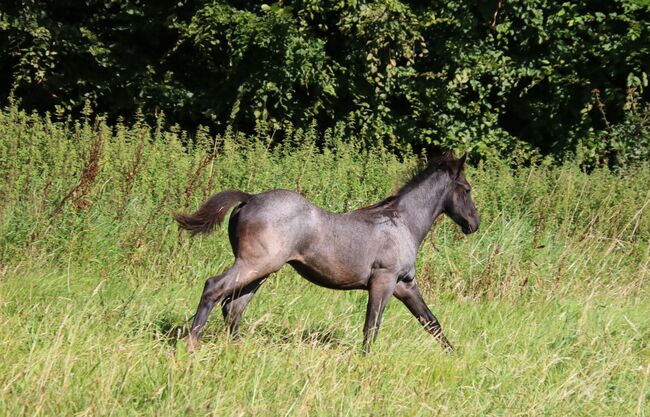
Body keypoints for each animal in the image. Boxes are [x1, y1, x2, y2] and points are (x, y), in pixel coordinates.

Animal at [175, 153, 478, 352]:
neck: (402, 222)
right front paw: (365, 361)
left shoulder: (404, 284)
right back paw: (191, 343)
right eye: (466, 189)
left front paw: (454, 356)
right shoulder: (383, 280)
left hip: (261, 270)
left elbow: (431, 321)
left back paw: (239, 348)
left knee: (234, 306)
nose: (474, 223)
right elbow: (372, 325)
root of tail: (249, 199)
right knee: (215, 288)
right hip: (256, 263)